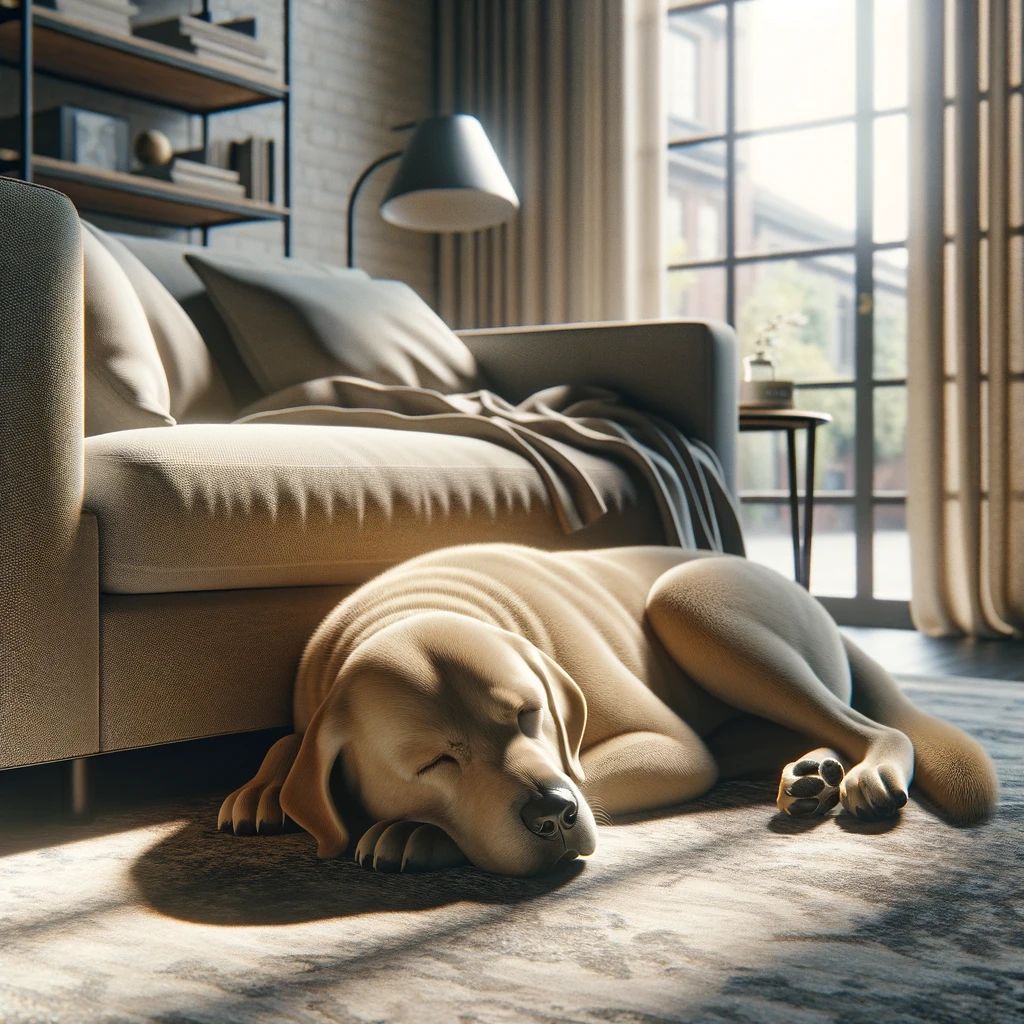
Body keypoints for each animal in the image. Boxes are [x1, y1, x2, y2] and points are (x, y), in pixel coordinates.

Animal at [218, 548, 999, 876]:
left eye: (530, 716)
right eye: (435, 760)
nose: (554, 814)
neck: (407, 608)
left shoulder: (669, 747)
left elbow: (593, 770)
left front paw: (414, 832)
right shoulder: (314, 706)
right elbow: (290, 745)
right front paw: (261, 790)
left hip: (691, 601)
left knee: (871, 724)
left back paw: (866, 773)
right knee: (820, 727)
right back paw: (812, 773)